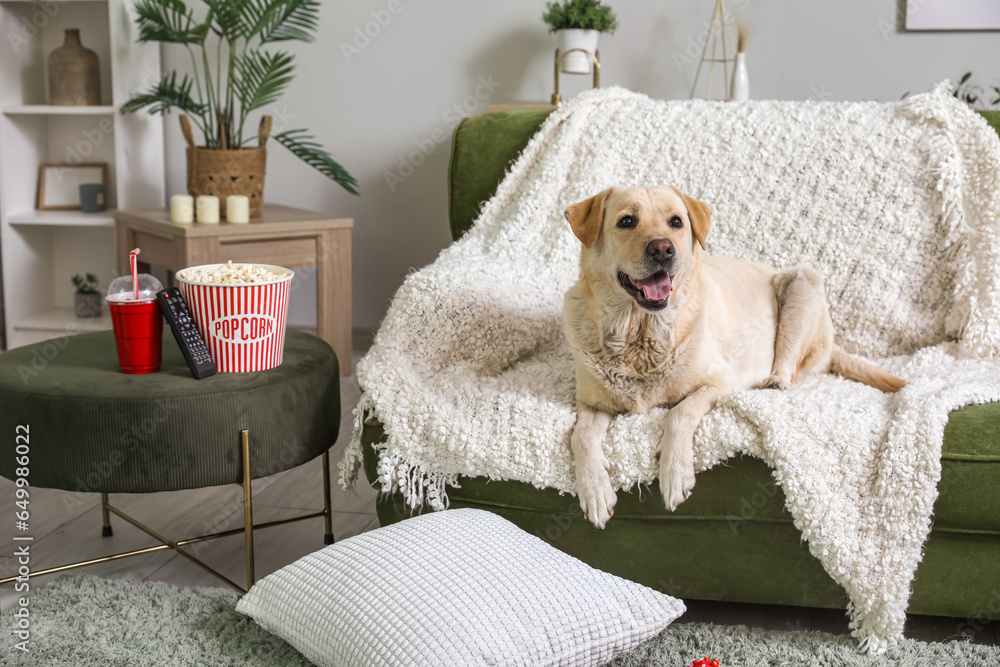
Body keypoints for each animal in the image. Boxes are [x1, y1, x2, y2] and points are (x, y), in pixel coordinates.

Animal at [564, 185, 908, 528]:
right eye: (626, 221)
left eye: (676, 222)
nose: (663, 249)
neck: (640, 338)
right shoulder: (590, 403)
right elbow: (580, 435)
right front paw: (595, 491)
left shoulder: (719, 382)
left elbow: (679, 414)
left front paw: (675, 473)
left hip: (802, 283)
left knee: (789, 366)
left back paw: (774, 381)